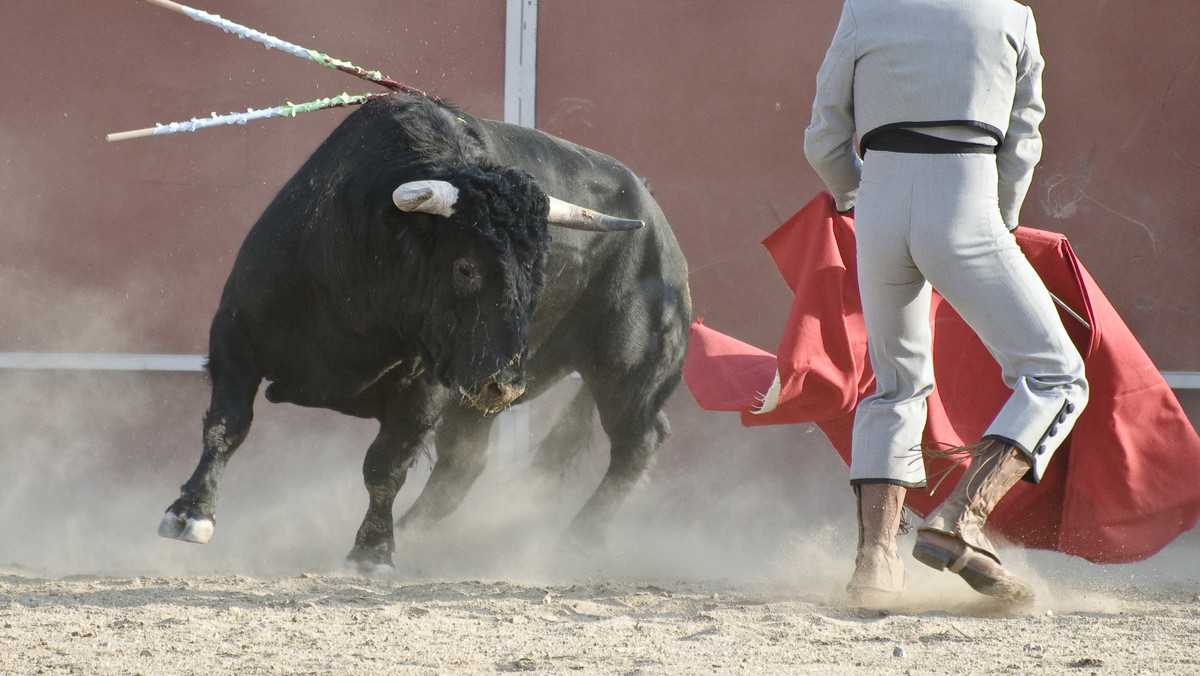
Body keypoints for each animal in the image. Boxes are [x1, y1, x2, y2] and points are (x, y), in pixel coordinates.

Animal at [157, 93, 696, 571]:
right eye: (465, 268)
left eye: (540, 274)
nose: (505, 386)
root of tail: (658, 226)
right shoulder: (236, 335)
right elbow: (227, 425)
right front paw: (190, 514)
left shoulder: (428, 386)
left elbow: (385, 465)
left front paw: (372, 552)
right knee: (465, 463)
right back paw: (418, 533)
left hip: (625, 373)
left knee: (637, 442)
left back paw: (574, 541)